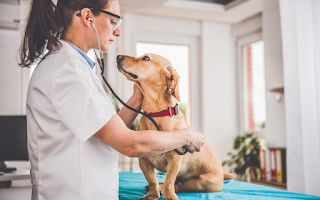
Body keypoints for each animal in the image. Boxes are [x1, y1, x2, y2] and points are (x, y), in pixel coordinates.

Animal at [116, 53, 234, 200]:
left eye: (146, 58)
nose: (118, 57)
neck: (156, 114)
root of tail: (222, 174)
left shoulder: (175, 159)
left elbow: (169, 181)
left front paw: (169, 196)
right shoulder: (143, 160)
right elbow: (152, 179)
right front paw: (152, 195)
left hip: (202, 182)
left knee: (179, 185)